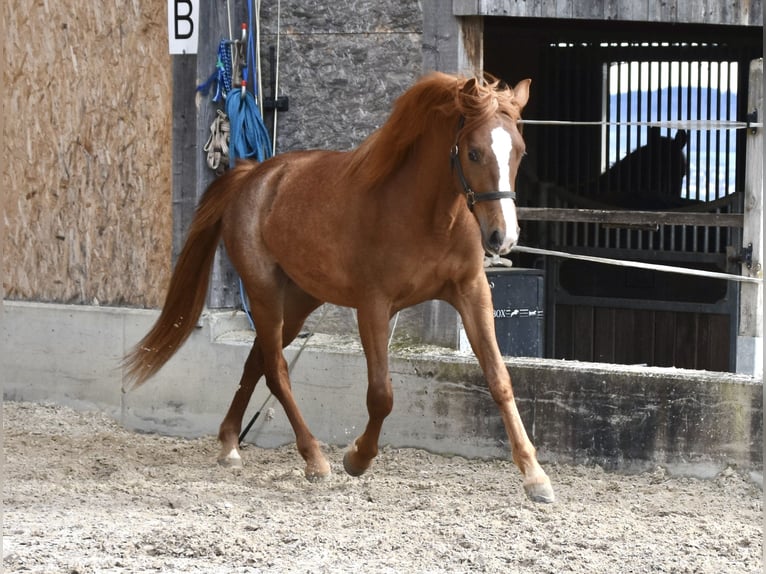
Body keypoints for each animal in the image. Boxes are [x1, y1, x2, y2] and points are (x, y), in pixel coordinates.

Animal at [126, 72, 560, 504]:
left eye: (519, 151)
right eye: (473, 152)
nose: (503, 237)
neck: (428, 216)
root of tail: (252, 176)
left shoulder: (472, 293)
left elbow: (500, 380)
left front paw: (535, 476)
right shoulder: (373, 306)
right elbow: (381, 395)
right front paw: (358, 458)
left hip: (299, 300)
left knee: (256, 362)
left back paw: (230, 444)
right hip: (264, 292)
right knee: (276, 370)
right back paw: (314, 459)